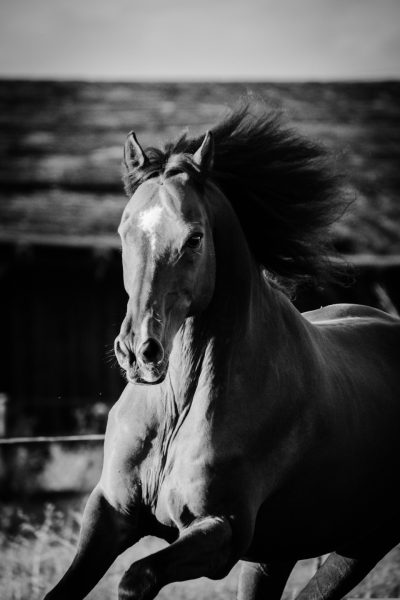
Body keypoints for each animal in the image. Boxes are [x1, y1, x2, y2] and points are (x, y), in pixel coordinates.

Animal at [44, 104, 400, 600]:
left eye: (194, 238)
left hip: (362, 543)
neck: (177, 410)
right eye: (123, 231)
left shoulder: (220, 531)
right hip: (277, 552)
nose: (138, 352)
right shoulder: (109, 511)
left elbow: (138, 577)